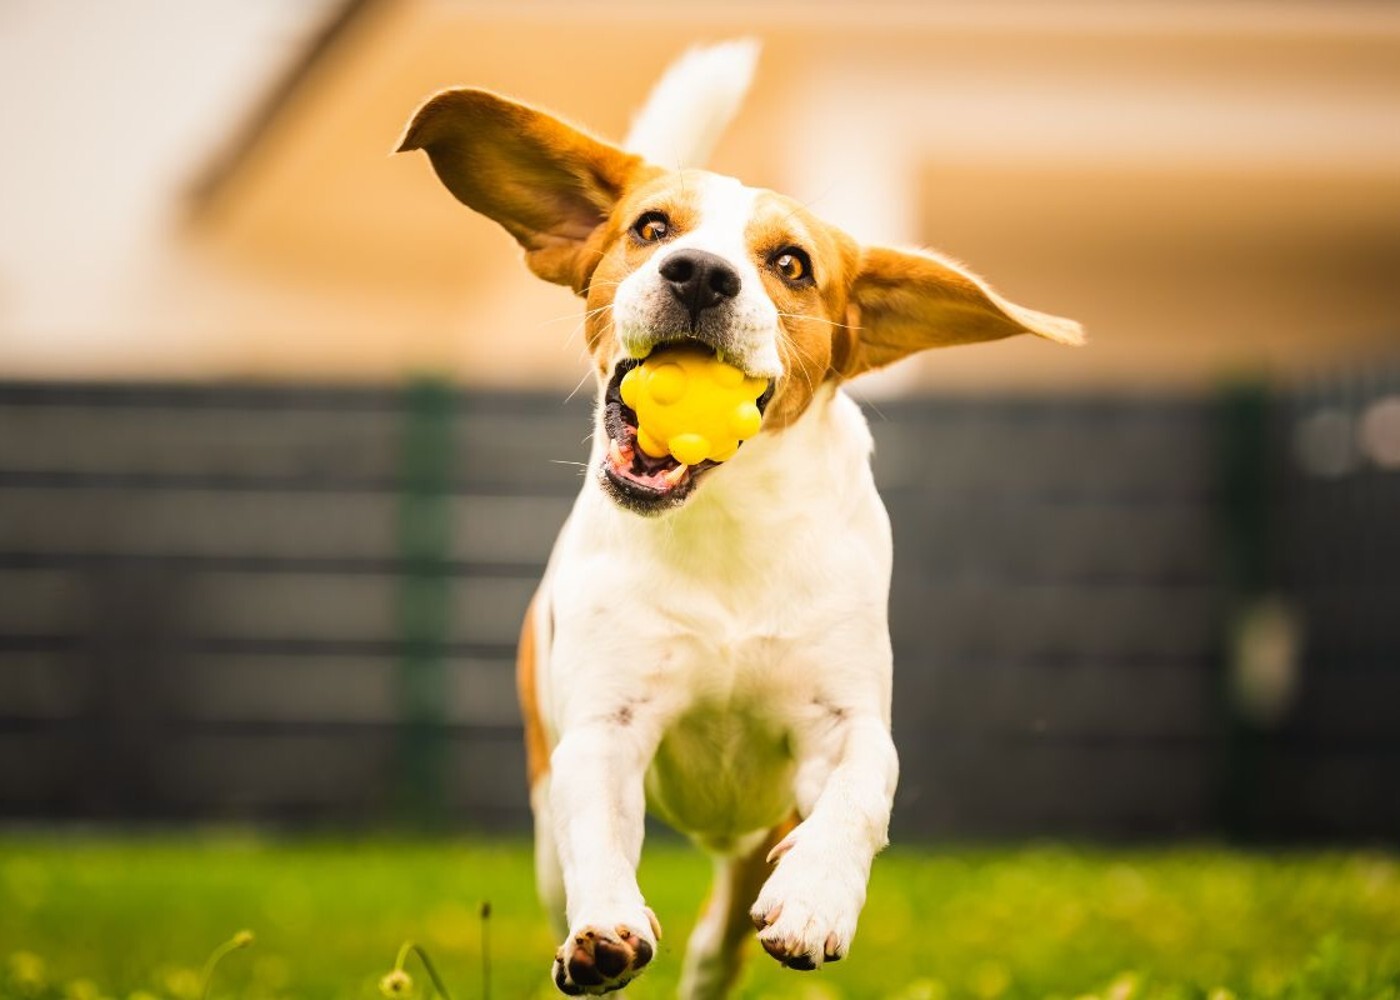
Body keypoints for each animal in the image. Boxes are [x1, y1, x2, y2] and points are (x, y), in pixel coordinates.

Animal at [400, 40, 1075, 997]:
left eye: (790, 264)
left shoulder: (844, 722)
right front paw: (605, 929)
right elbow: (597, 830)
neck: (725, 527)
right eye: (653, 228)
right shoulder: (604, 730)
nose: (700, 272)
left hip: (759, 828)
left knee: (723, 932)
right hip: (545, 823)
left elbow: (862, 790)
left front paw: (817, 900)